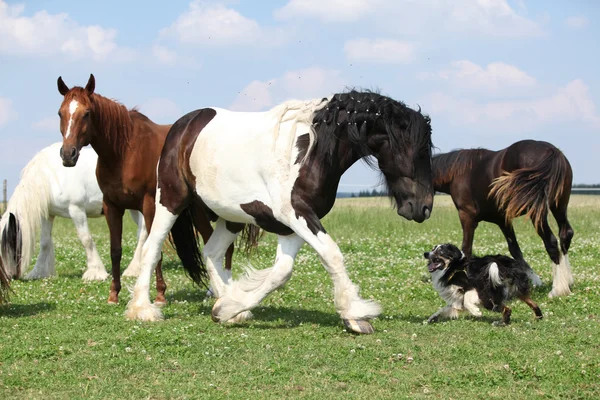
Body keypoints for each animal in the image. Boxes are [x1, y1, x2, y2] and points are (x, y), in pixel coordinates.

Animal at [0, 144, 145, 282]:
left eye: (8, 245)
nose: (7, 277)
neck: (51, 176)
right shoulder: (48, 215)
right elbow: (44, 242)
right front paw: (38, 272)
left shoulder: (76, 209)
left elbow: (86, 239)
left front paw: (95, 272)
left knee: (142, 234)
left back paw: (133, 270)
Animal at [54, 74, 237, 304]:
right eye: (60, 113)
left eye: (86, 113)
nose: (68, 154)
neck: (125, 152)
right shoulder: (112, 206)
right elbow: (116, 250)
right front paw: (113, 294)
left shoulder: (149, 205)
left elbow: (154, 249)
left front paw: (159, 294)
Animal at [434, 139, 576, 298]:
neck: (458, 173)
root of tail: (551, 151)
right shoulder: (503, 220)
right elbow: (515, 250)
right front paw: (535, 280)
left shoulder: (467, 216)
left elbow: (466, 249)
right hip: (559, 206)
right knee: (565, 234)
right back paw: (567, 282)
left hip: (537, 212)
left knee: (550, 241)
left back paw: (557, 289)